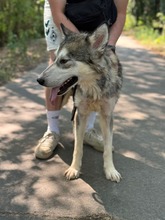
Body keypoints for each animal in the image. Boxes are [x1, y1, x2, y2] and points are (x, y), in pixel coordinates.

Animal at [37, 24, 122, 182]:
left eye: (64, 61)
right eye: (56, 59)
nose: (39, 80)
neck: (93, 87)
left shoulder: (107, 116)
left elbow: (108, 147)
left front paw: (110, 170)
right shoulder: (80, 114)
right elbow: (78, 148)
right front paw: (74, 169)